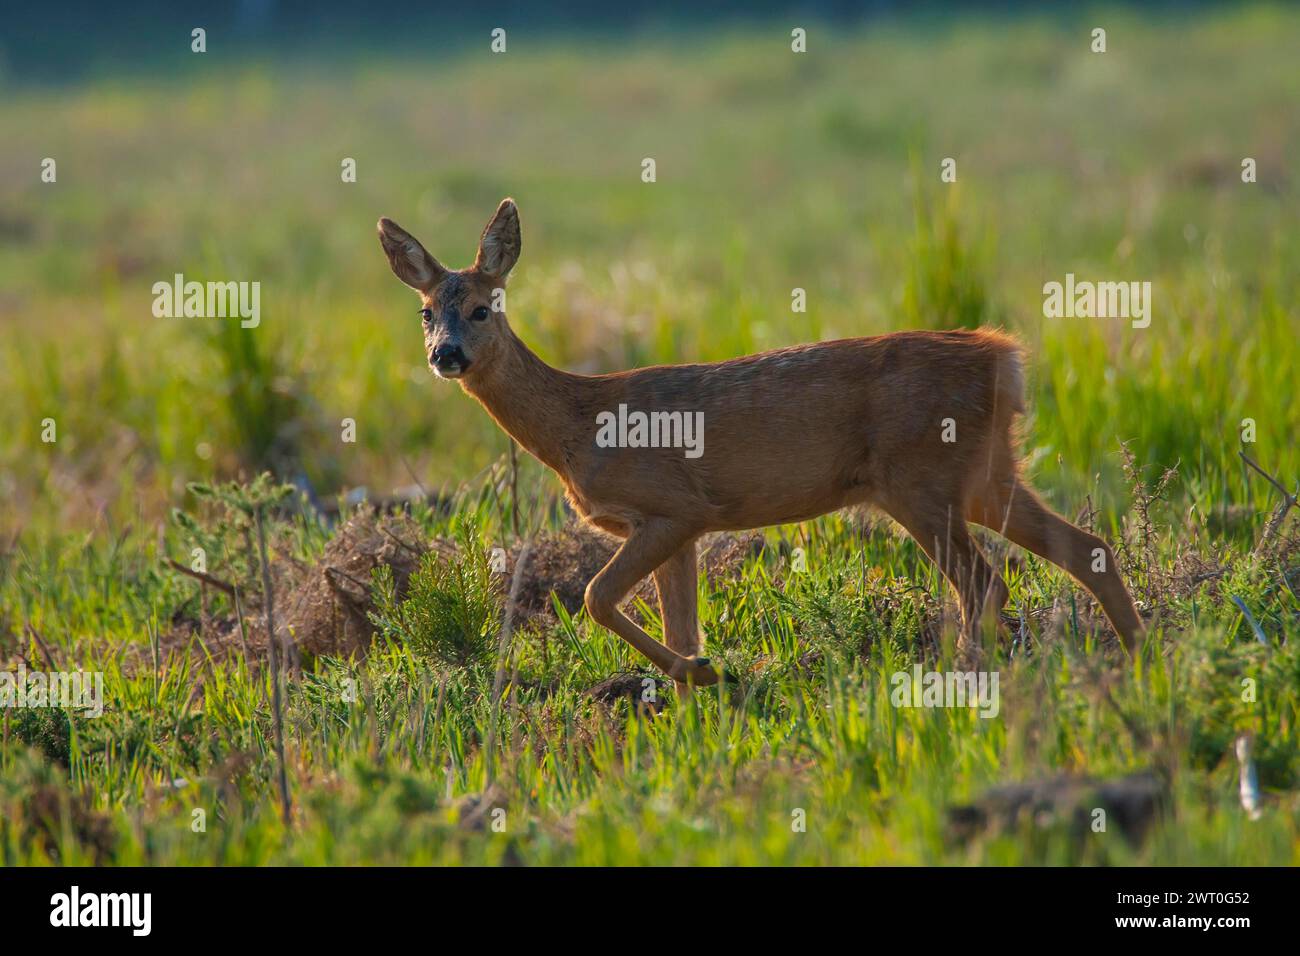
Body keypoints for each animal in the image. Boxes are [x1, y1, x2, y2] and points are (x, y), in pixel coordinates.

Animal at [374, 200, 1138, 686]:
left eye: (482, 307)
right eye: (425, 312)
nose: (446, 354)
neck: (576, 426)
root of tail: (1003, 358)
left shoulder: (673, 506)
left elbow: (593, 597)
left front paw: (703, 673)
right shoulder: (677, 528)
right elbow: (676, 623)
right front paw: (696, 690)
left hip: (921, 480)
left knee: (985, 582)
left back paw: (969, 678)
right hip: (986, 475)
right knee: (1085, 547)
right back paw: (1142, 656)